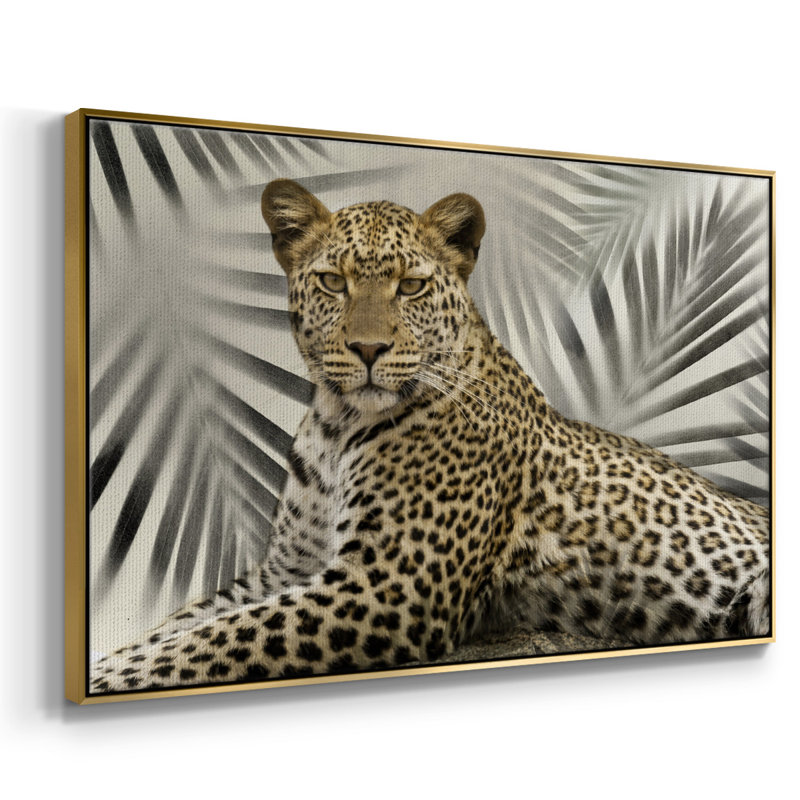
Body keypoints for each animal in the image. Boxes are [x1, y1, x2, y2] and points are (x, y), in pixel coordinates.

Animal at [90, 179, 771, 694]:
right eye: (333, 282)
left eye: (411, 286)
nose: (368, 350)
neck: (336, 425)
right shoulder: (286, 569)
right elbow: (177, 629)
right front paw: (107, 661)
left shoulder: (387, 587)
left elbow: (206, 643)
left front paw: (107, 678)